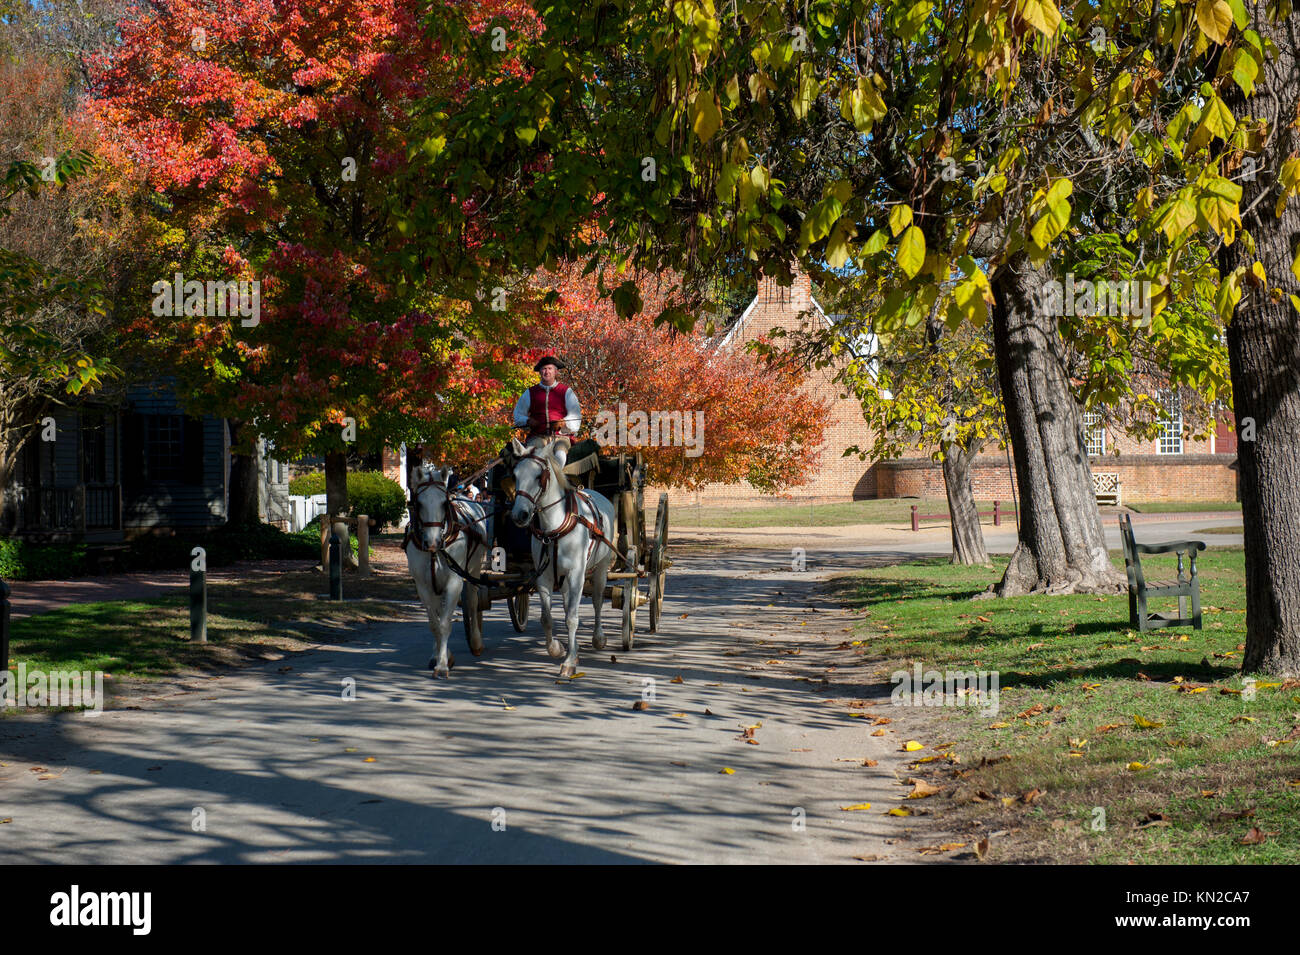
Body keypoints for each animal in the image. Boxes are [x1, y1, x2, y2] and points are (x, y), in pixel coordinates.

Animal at [403, 465, 488, 680]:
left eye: (443, 503)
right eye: (419, 503)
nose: (432, 542)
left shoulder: (454, 582)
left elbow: (445, 624)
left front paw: (442, 665)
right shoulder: (423, 586)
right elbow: (435, 624)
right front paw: (440, 656)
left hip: (473, 570)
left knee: (473, 603)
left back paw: (476, 641)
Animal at [509, 436, 616, 675]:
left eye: (538, 476)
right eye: (515, 475)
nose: (519, 515)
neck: (554, 529)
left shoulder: (577, 573)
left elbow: (572, 618)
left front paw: (569, 661)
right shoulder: (544, 576)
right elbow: (547, 618)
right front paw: (557, 649)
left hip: (600, 568)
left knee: (597, 601)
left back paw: (598, 637)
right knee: (568, 604)